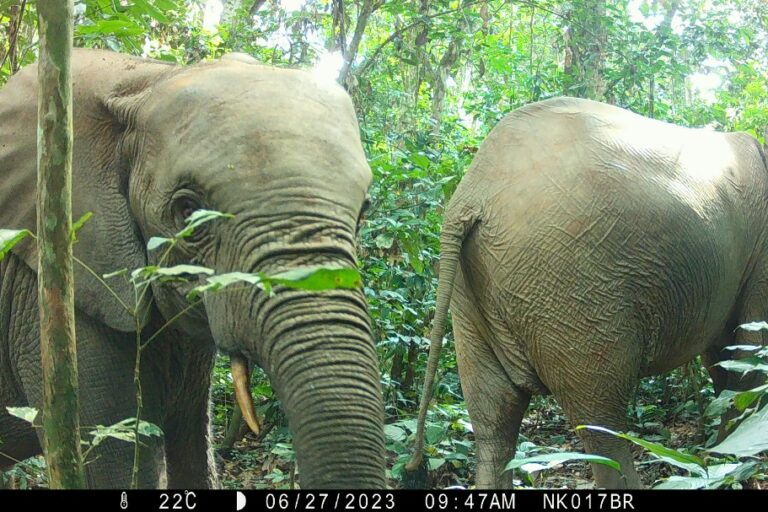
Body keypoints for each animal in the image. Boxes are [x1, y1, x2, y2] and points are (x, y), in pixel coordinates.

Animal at [412, 95, 768, 488]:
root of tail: (472, 193)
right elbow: (750, 356)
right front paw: (730, 458)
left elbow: (725, 358)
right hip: (572, 288)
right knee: (601, 424)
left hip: (471, 292)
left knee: (493, 417)